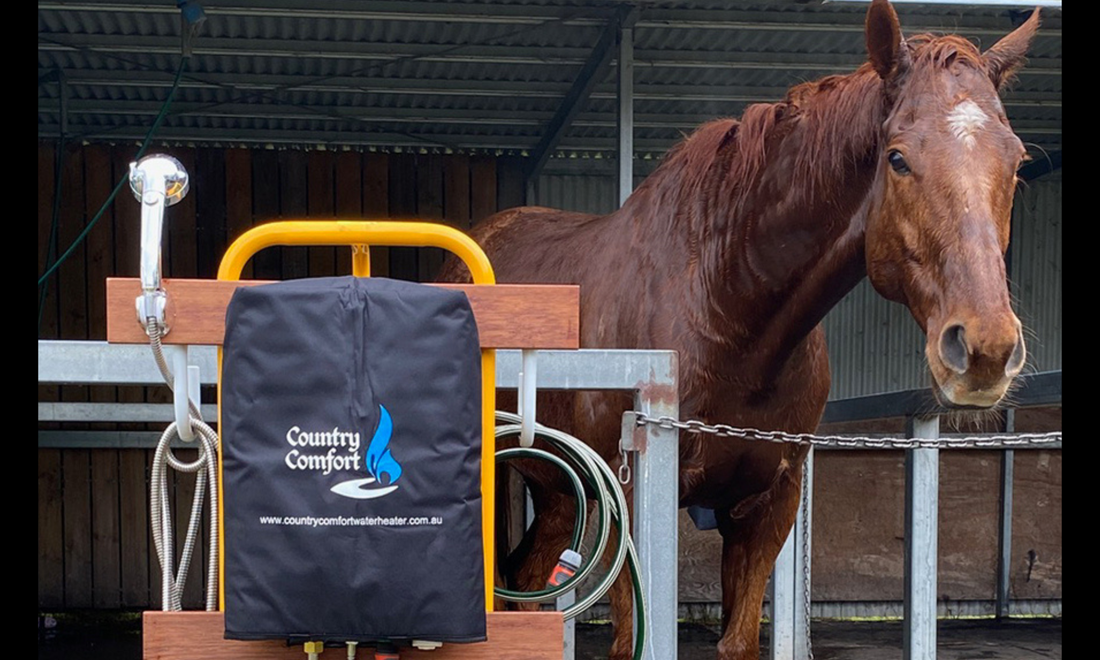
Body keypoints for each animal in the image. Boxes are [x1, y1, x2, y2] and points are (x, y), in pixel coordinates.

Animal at [437, 1, 1039, 657]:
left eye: (1016, 164)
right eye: (898, 157)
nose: (985, 349)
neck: (725, 309)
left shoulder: (765, 509)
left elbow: (737, 640)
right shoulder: (632, 500)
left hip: (555, 487)